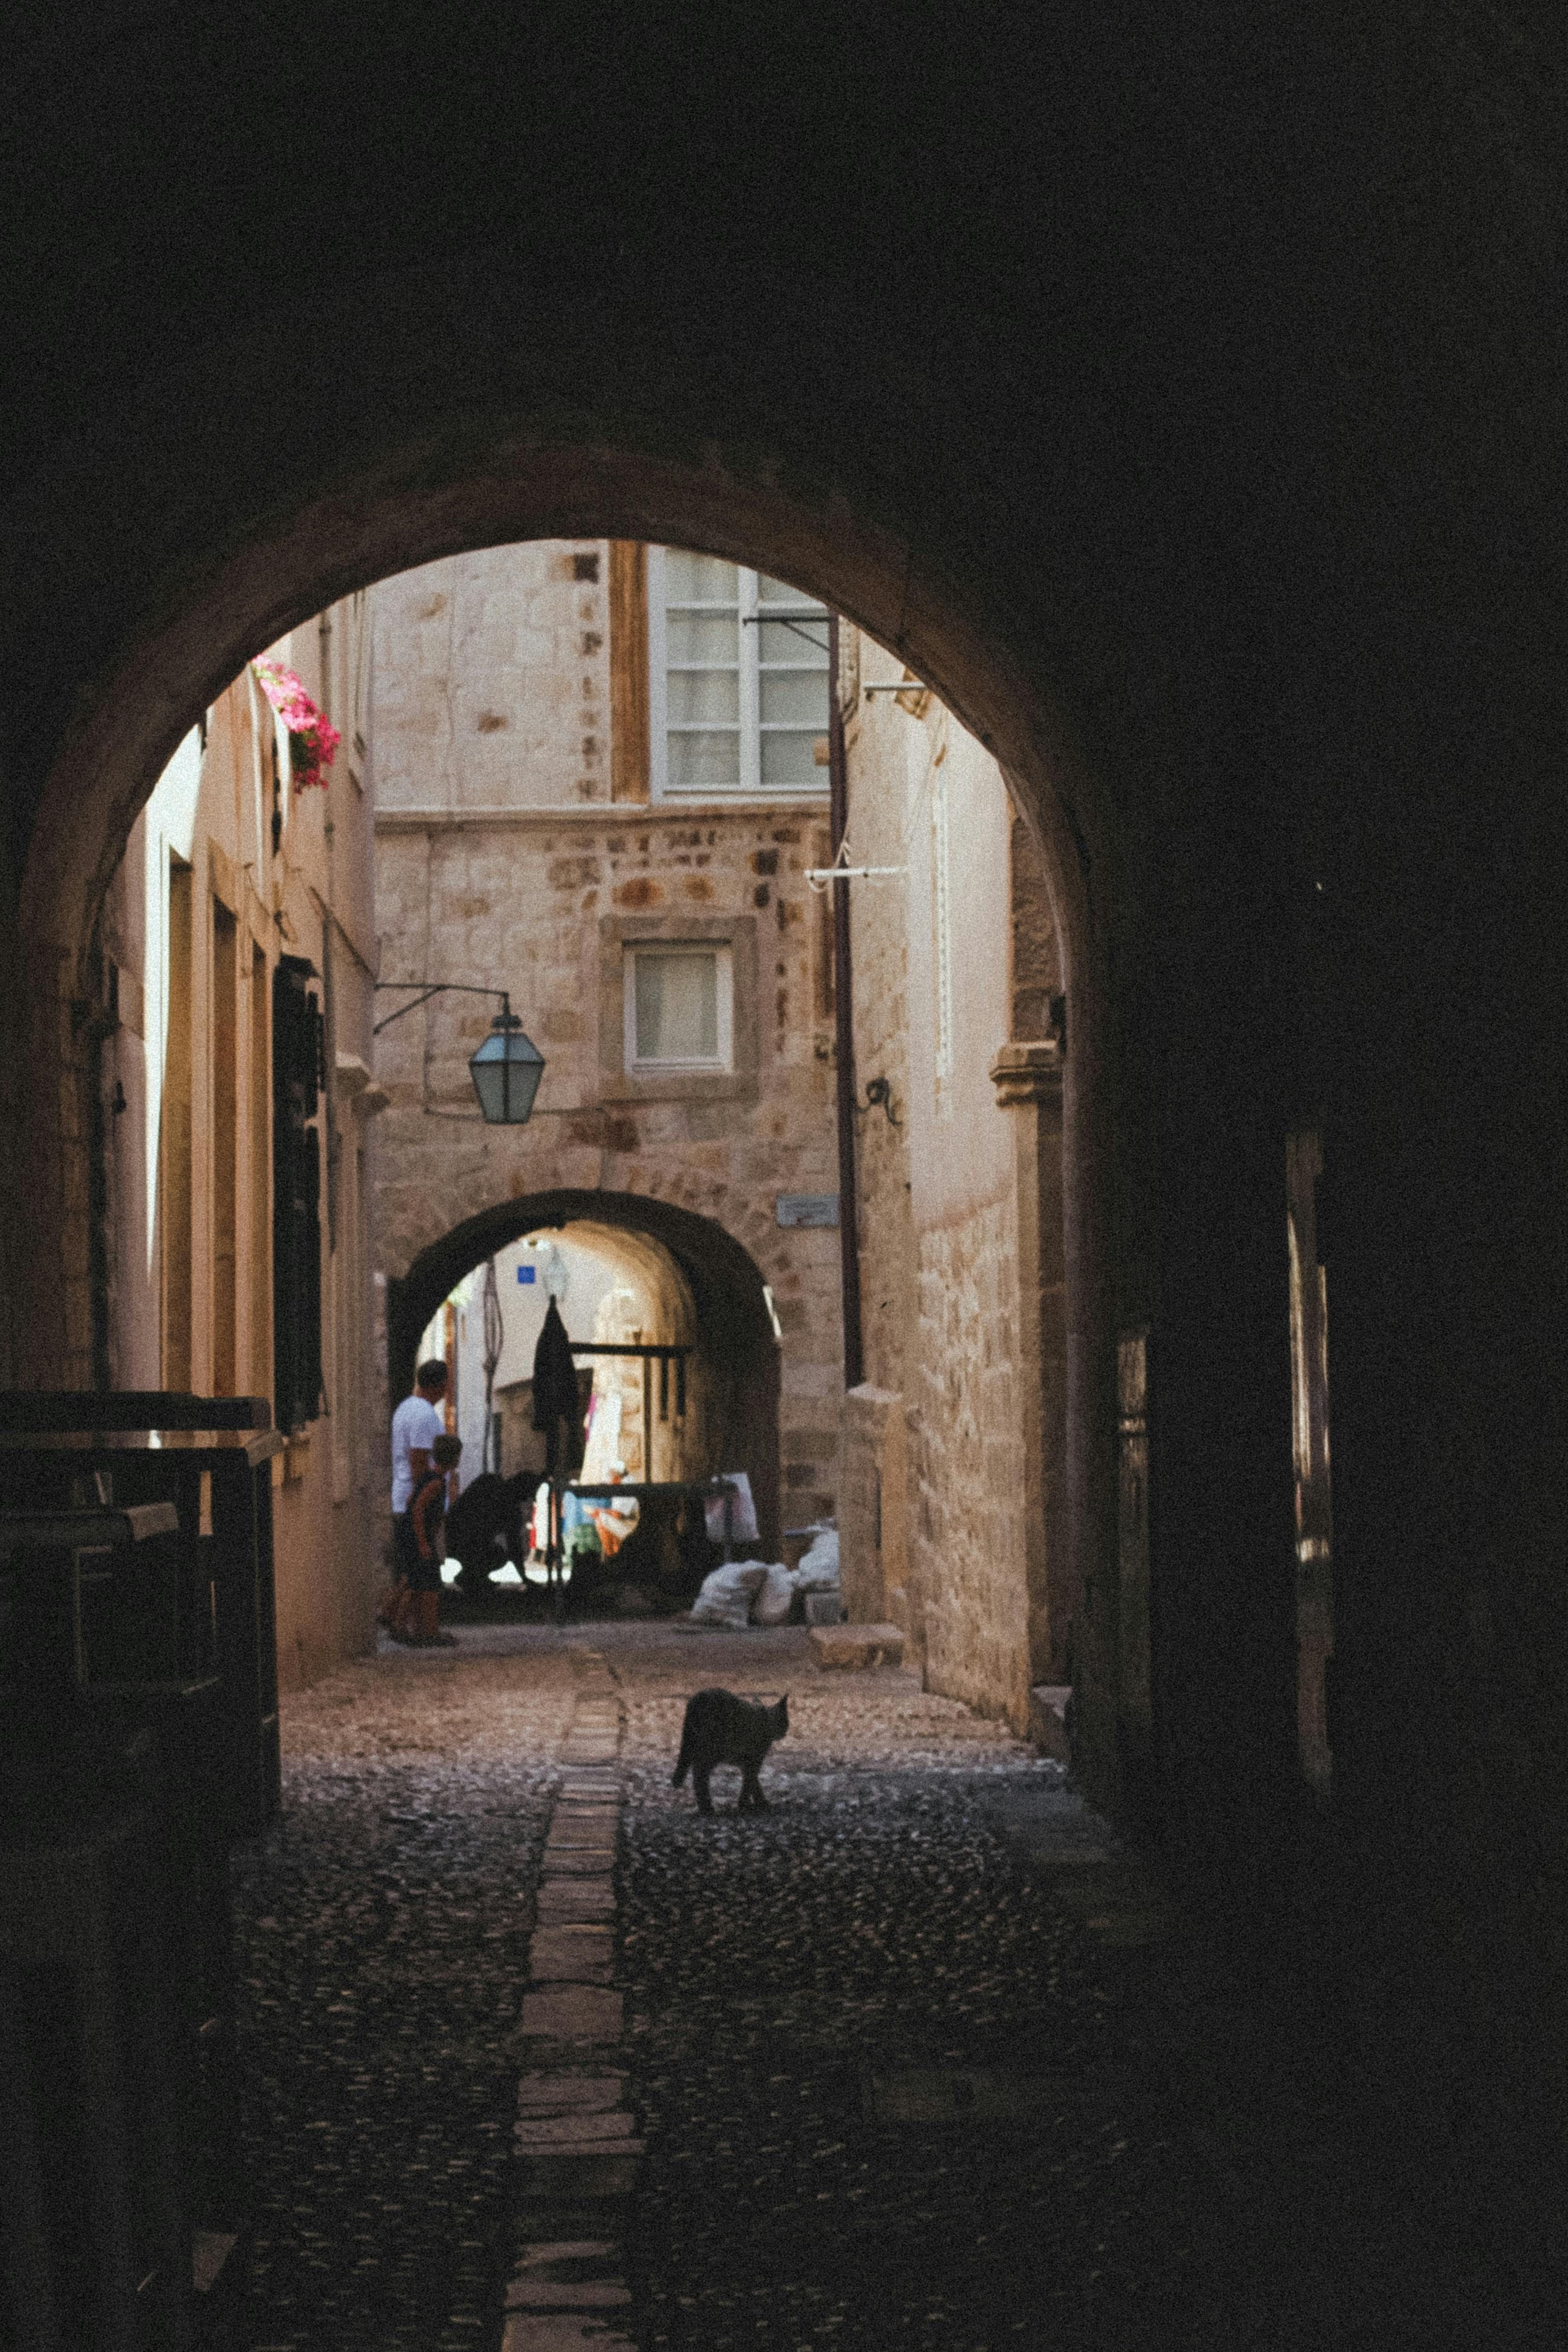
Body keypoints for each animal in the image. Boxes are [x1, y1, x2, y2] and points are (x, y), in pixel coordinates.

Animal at [677, 1693, 799, 1815]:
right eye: (786, 1721)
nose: (785, 1733)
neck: (765, 1721)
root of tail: (698, 1697)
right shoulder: (754, 1760)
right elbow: (749, 1780)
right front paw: (749, 1804)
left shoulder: (746, 1763)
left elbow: (753, 1781)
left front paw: (756, 1802)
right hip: (714, 1750)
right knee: (699, 1773)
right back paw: (707, 1808)